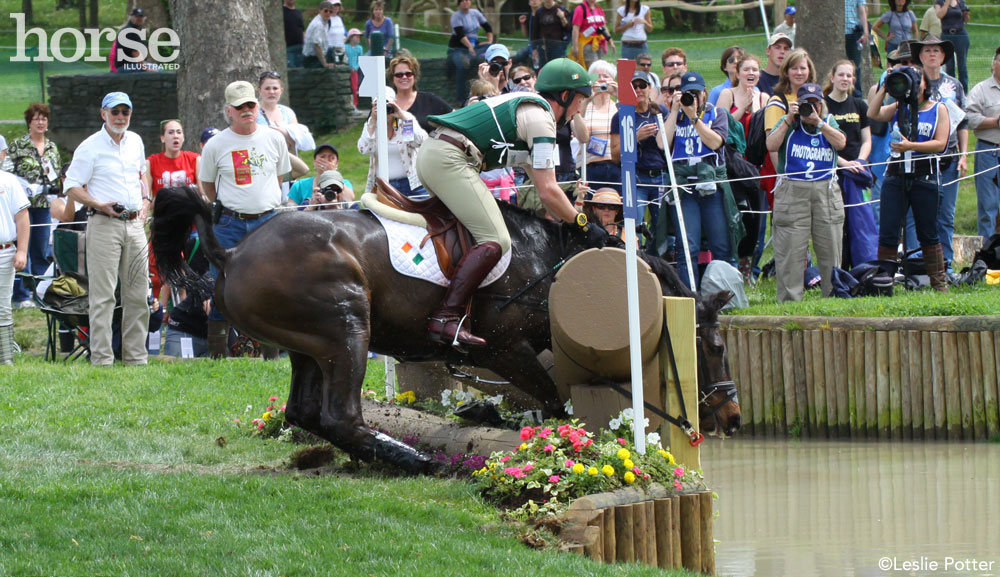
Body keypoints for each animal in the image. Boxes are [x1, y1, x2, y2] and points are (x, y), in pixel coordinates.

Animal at [152, 187, 740, 470]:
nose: (732, 418)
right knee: (340, 414)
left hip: (308, 345)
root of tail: (232, 253)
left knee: (305, 412)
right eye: (713, 346)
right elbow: (554, 403)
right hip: (346, 326)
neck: (548, 265)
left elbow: (547, 401)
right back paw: (419, 462)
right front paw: (550, 443)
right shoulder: (501, 350)